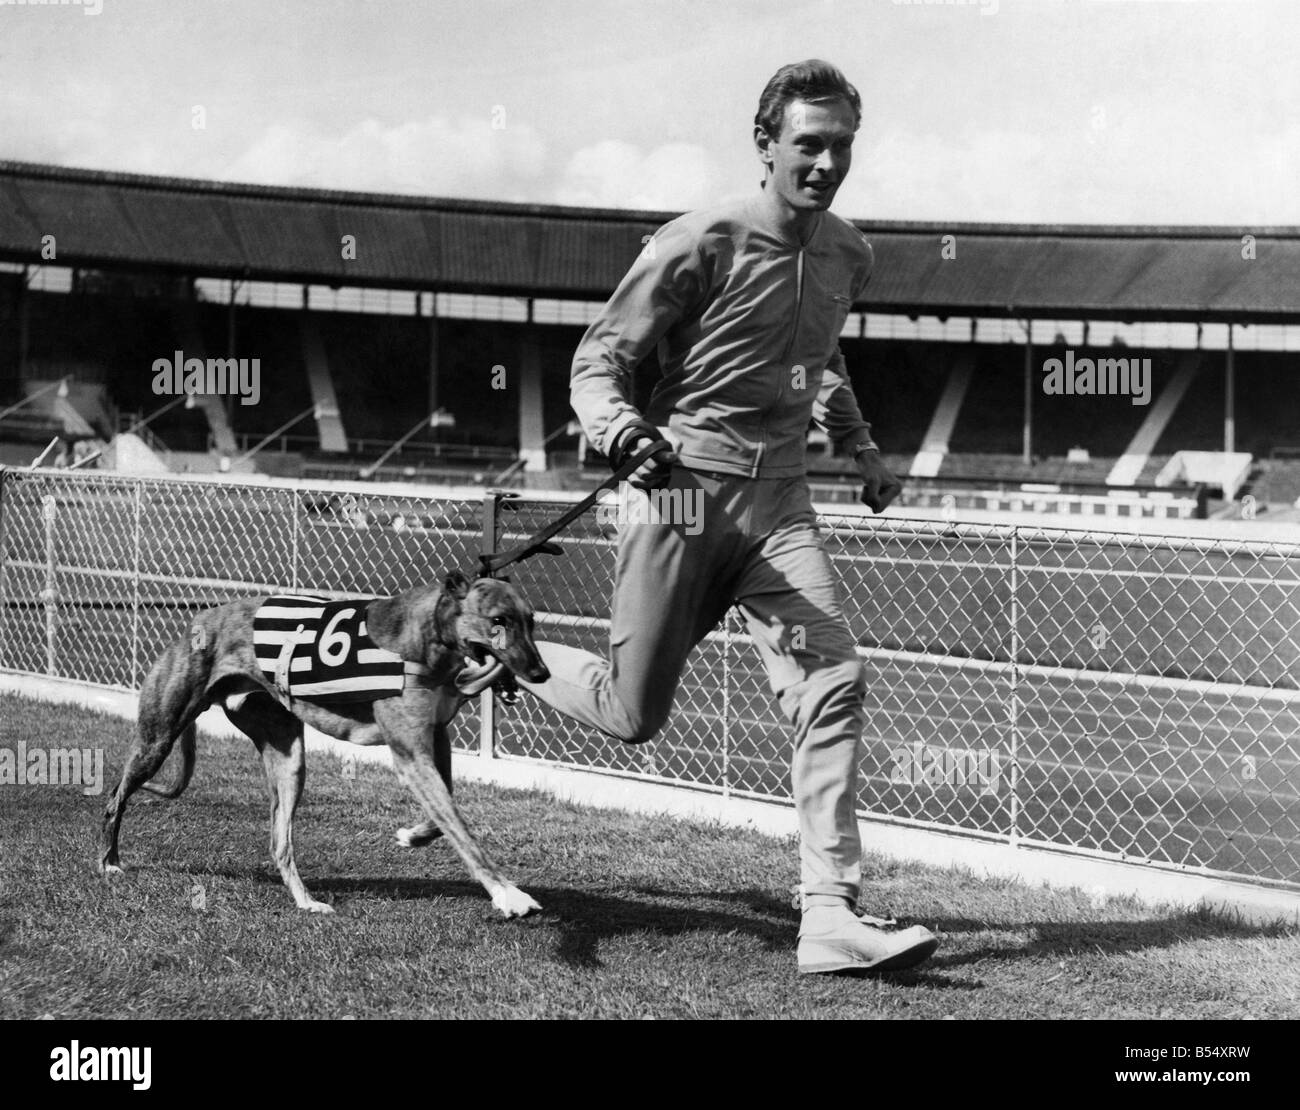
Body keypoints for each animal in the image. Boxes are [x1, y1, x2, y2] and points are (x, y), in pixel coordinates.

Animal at [100, 574, 548, 920]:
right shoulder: (411, 756)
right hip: (157, 738)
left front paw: (416, 836)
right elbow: (463, 831)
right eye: (498, 620)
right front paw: (508, 894)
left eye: (531, 621)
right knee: (115, 798)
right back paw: (109, 861)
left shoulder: (434, 739)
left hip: (288, 760)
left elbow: (447, 815)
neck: (426, 635)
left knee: (280, 844)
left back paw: (306, 902)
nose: (540, 673)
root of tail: (199, 621)